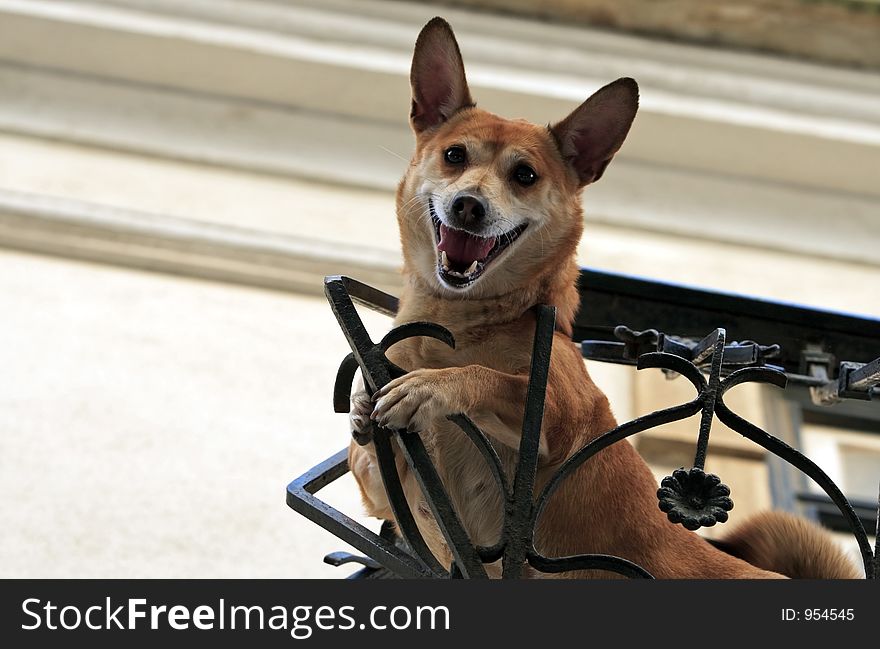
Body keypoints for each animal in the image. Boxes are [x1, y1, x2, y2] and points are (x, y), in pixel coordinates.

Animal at [348, 17, 856, 580]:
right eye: (455, 155)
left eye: (525, 175)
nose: (468, 205)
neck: (460, 318)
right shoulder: (387, 494)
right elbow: (367, 455)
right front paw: (363, 405)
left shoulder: (556, 414)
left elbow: (487, 376)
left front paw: (433, 386)